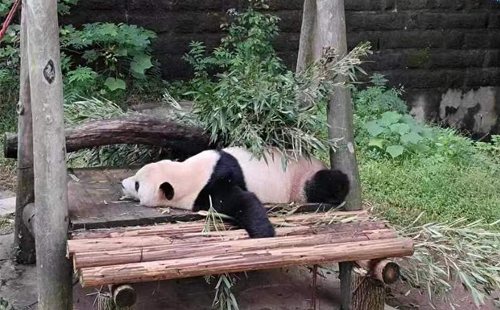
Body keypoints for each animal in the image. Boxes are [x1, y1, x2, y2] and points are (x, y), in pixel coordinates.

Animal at [121, 147, 350, 239]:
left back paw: (341, 187)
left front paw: (264, 232)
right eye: (136, 178)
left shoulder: (213, 185)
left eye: (138, 185)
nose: (123, 184)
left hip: (300, 179)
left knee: (322, 183)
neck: (187, 173)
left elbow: (242, 201)